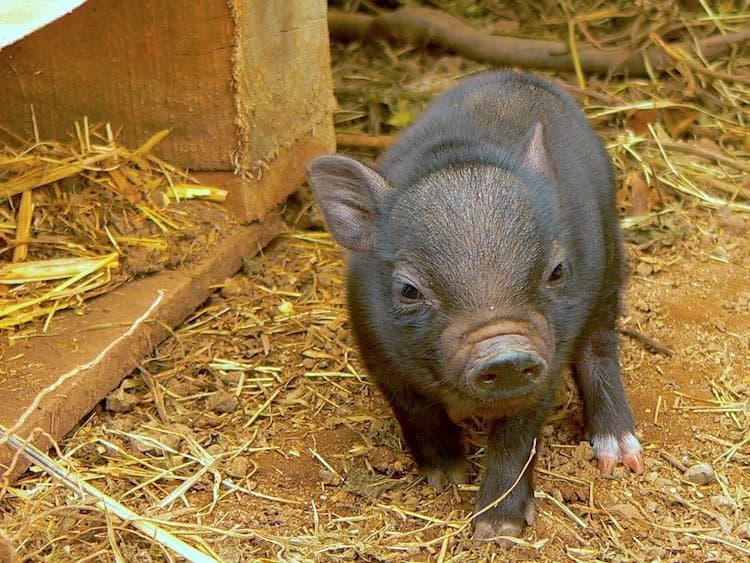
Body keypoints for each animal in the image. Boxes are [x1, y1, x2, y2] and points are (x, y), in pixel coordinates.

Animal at [306, 70, 644, 540]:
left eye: (557, 271)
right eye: (409, 290)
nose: (505, 353)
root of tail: (520, 77)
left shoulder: (549, 352)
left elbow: (518, 433)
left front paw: (497, 530)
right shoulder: (374, 348)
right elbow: (414, 410)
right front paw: (447, 477)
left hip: (611, 249)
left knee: (600, 345)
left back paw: (620, 457)